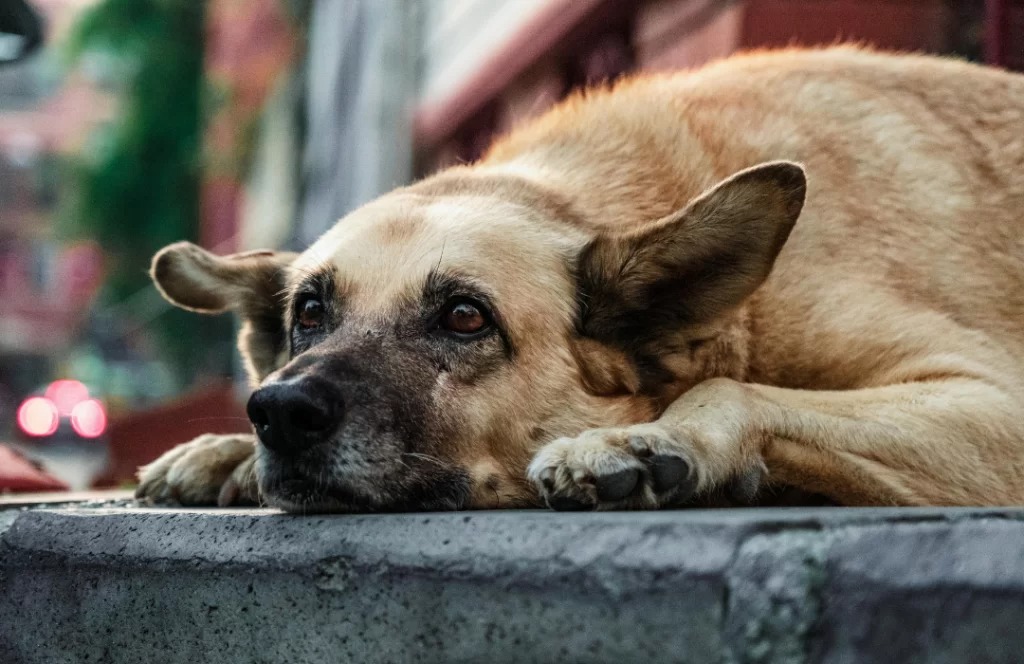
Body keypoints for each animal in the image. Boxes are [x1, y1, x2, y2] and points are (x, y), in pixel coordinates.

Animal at [132, 47, 1024, 514]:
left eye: (466, 317)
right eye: (310, 313)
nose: (279, 411)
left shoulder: (993, 402)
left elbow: (733, 390)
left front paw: (648, 439)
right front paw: (225, 452)